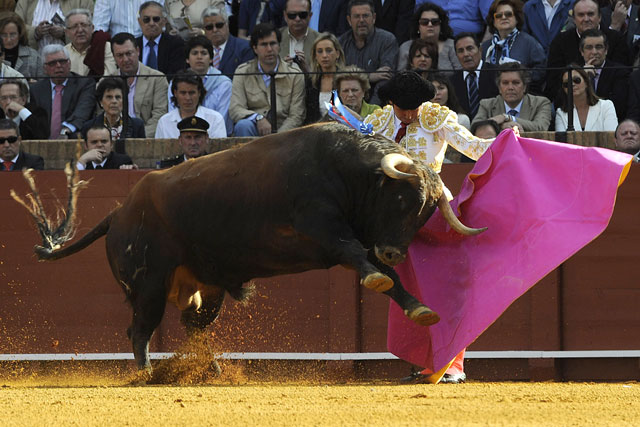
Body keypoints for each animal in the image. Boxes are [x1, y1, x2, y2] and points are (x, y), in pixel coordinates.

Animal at [13, 123, 484, 372]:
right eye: (401, 200)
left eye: (426, 214)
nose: (394, 252)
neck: (345, 170)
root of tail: (119, 211)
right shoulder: (322, 227)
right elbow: (360, 260)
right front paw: (382, 280)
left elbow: (386, 276)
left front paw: (421, 309)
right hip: (148, 284)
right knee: (140, 328)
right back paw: (147, 373)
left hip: (206, 286)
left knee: (193, 326)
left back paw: (209, 369)